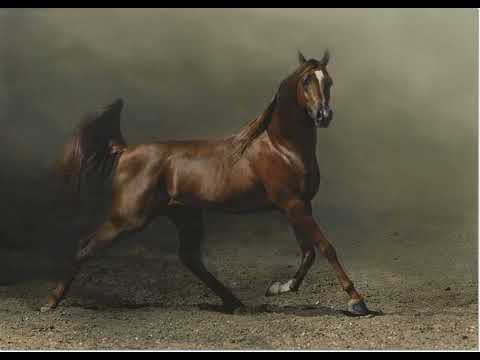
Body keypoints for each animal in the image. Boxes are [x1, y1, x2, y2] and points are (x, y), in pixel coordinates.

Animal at [42, 50, 372, 316]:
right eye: (306, 81)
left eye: (329, 81)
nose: (324, 115)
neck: (282, 147)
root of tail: (127, 151)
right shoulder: (293, 204)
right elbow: (326, 248)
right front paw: (357, 302)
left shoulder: (297, 206)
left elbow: (308, 252)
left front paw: (279, 287)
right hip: (128, 219)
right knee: (85, 246)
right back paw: (50, 302)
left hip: (185, 215)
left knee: (190, 259)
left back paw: (236, 303)